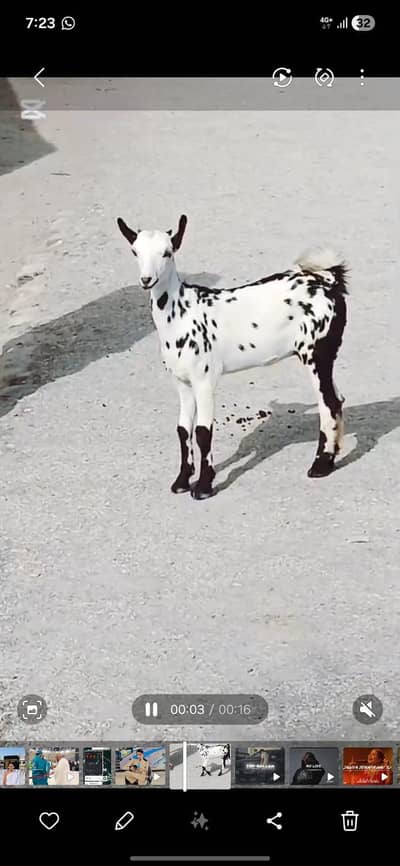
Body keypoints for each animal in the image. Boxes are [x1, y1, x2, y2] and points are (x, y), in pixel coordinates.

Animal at [117, 214, 347, 499]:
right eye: (135, 251)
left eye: (167, 252)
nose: (147, 279)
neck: (181, 312)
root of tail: (329, 280)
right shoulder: (181, 381)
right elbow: (183, 429)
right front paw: (181, 481)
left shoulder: (204, 379)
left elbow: (203, 431)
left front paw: (203, 487)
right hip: (325, 354)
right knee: (337, 399)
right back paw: (330, 460)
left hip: (316, 352)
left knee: (328, 403)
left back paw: (319, 466)